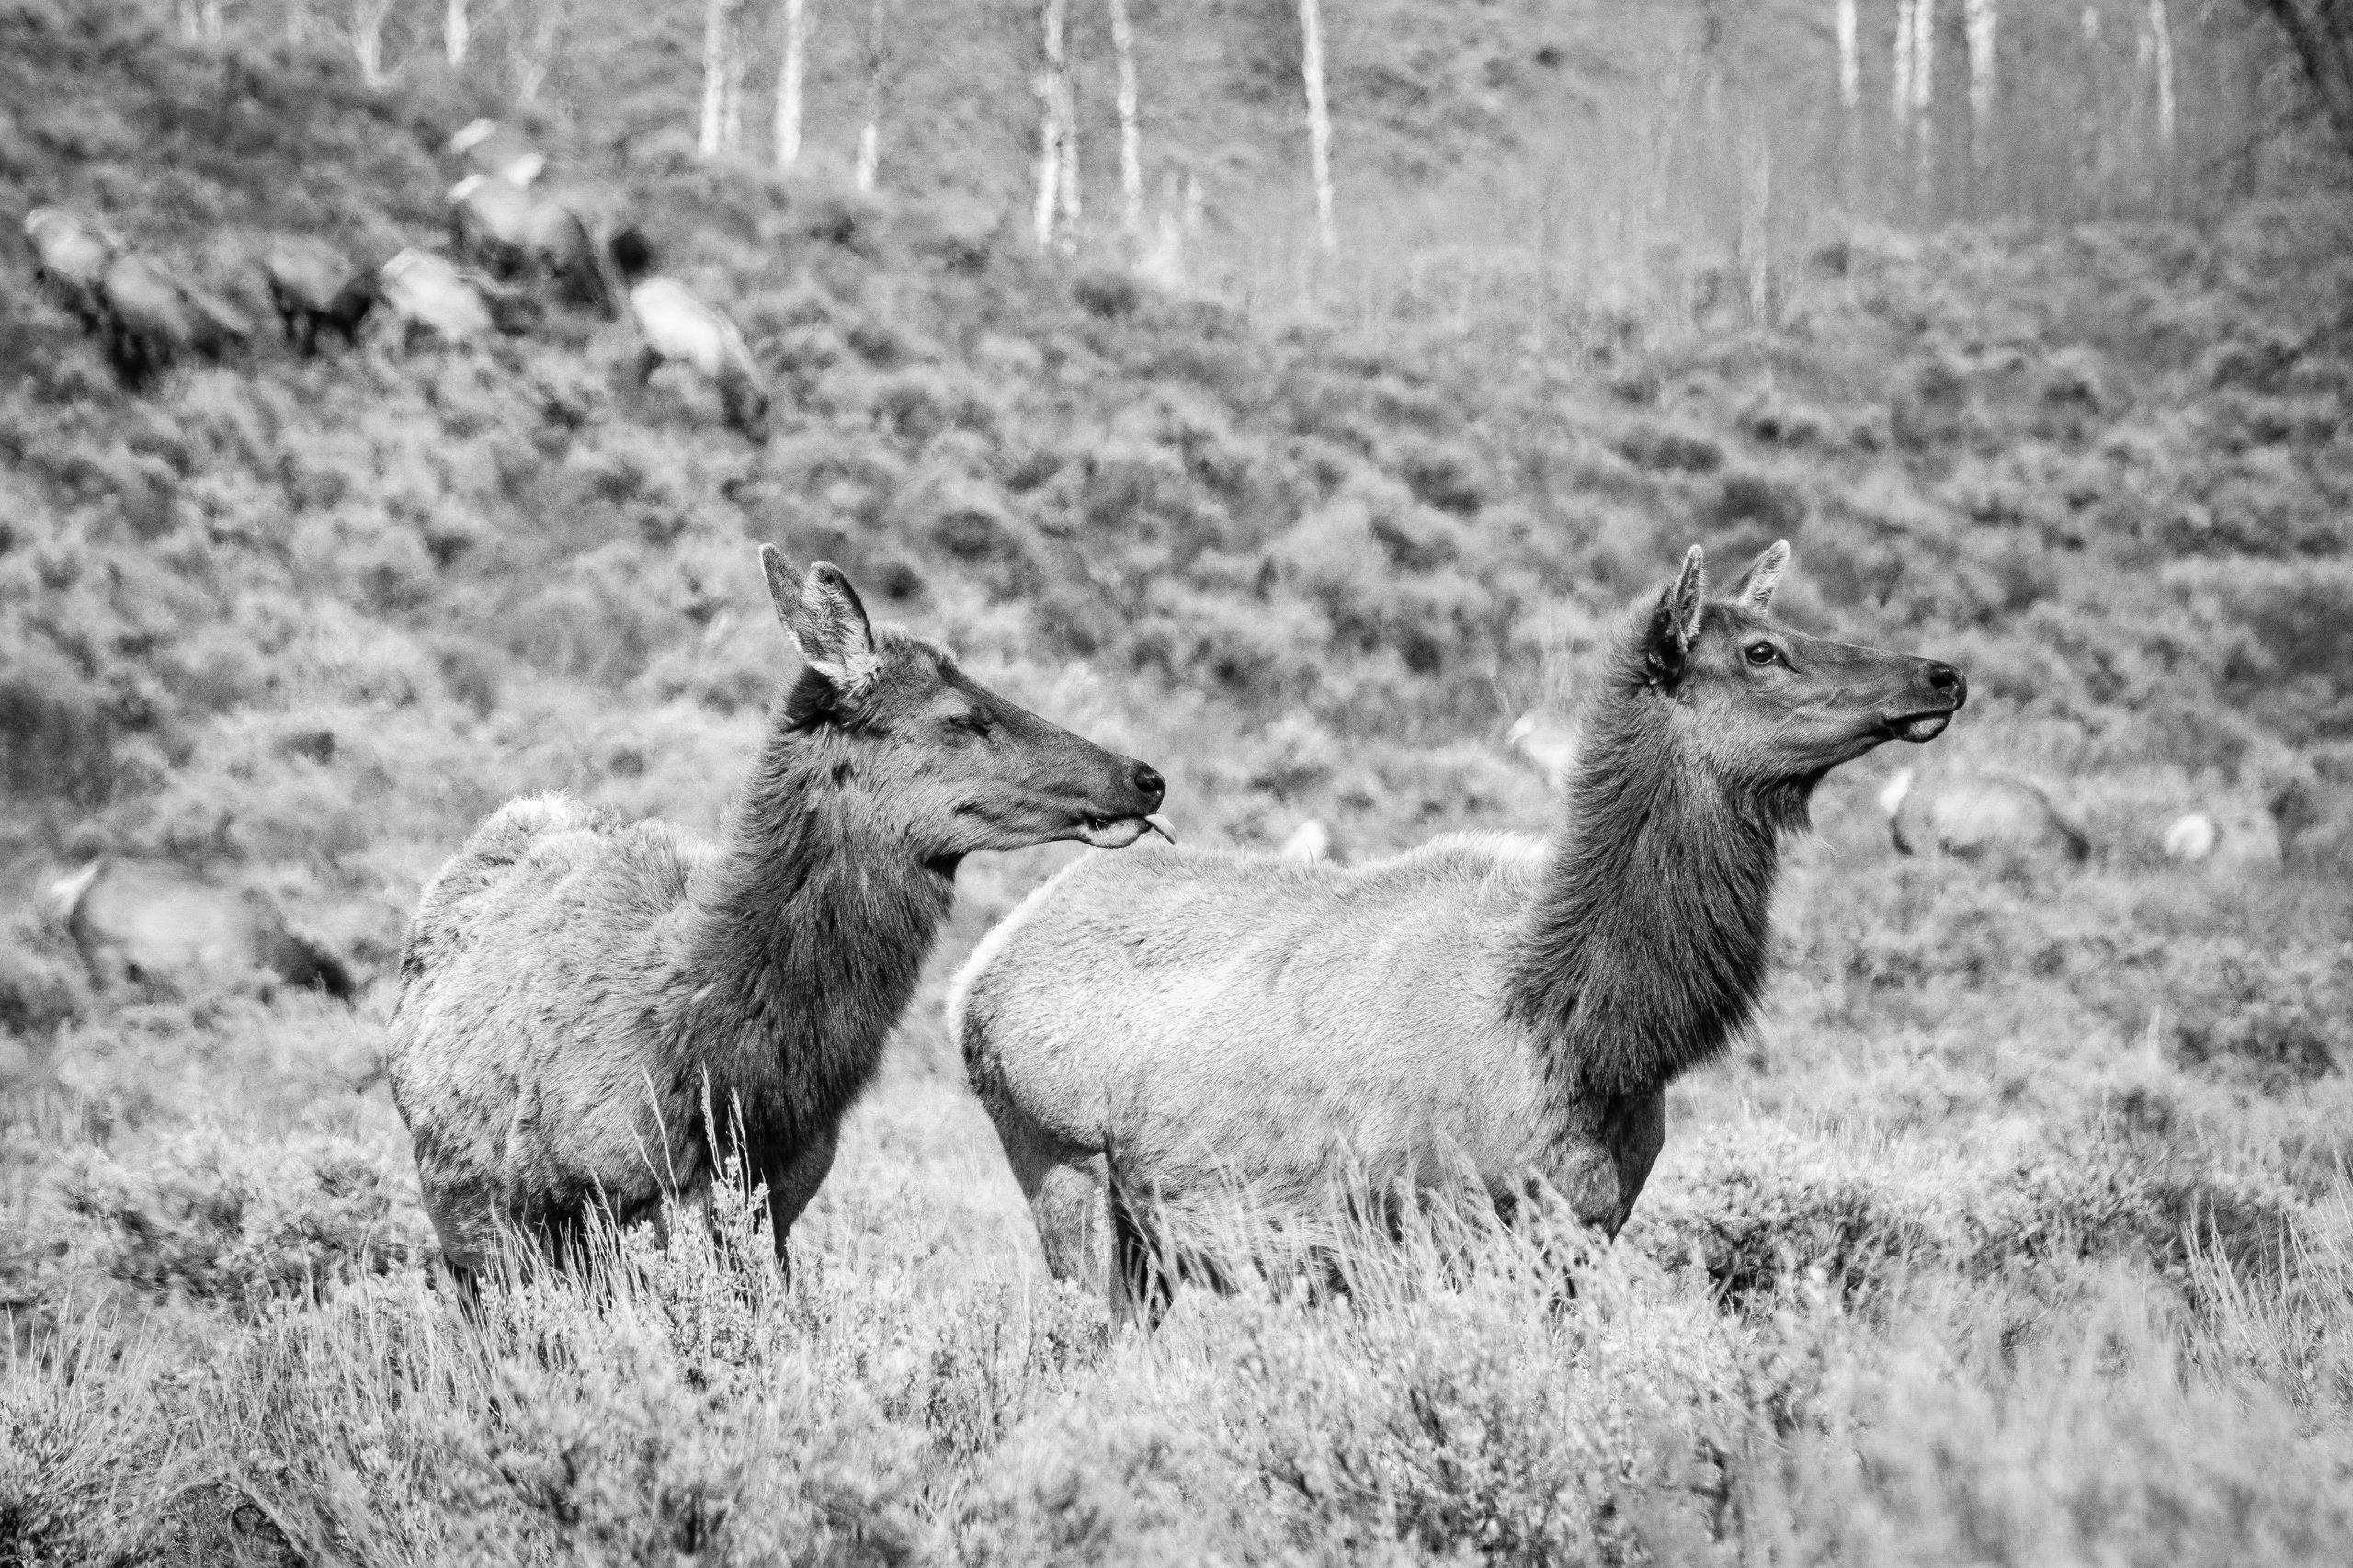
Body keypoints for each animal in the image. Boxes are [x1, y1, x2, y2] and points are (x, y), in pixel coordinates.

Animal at [386, 547, 1170, 1282]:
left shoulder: (782, 1202)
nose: (1145, 777)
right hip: (463, 1224)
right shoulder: (575, 1206)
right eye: (964, 717)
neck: (731, 1076)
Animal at [951, 542, 1965, 1325]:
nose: (1941, 673)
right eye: (1763, 649)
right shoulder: (1430, 1230)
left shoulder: (1586, 1231)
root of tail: (975, 975)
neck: (1588, 1037)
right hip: (1064, 1168)